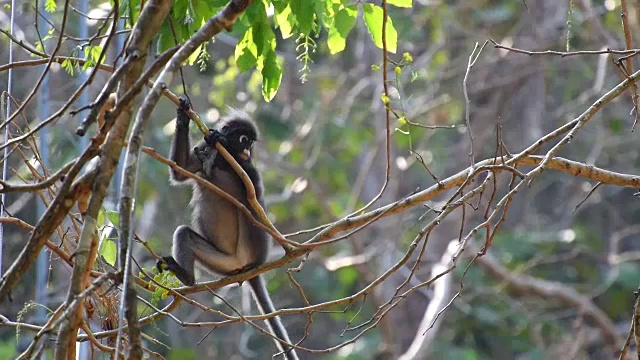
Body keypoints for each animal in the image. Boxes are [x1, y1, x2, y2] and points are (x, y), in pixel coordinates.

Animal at [159, 98, 302, 360]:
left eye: (251, 143)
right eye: (244, 139)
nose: (247, 151)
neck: (225, 162)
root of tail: (251, 267)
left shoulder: (248, 170)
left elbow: (254, 194)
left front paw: (221, 143)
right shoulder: (202, 150)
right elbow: (179, 169)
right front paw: (183, 114)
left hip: (251, 246)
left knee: (248, 209)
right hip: (223, 263)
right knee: (184, 233)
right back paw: (187, 277)